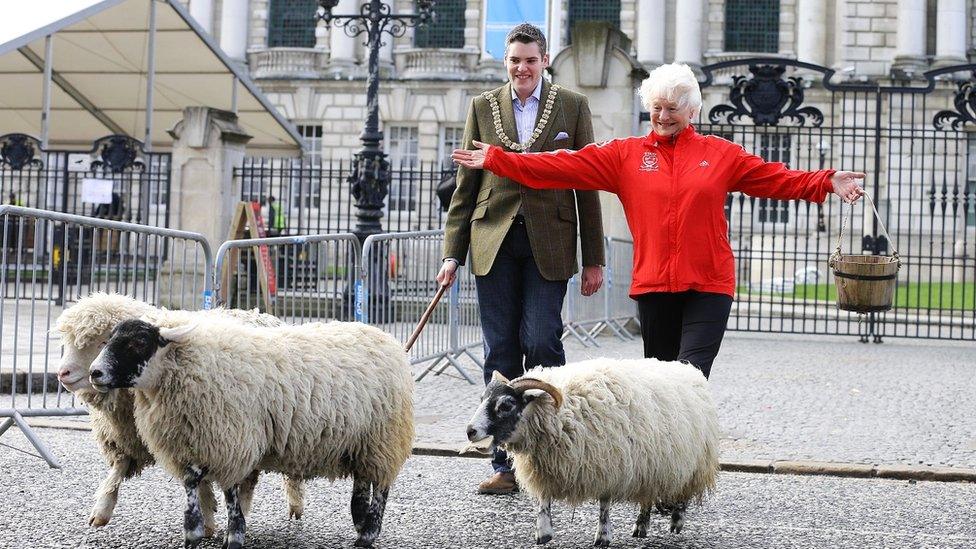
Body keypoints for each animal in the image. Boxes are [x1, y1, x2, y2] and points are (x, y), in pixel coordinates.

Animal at [86, 312, 416, 548]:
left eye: (139, 342)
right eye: (110, 339)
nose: (94, 373)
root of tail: (387, 339)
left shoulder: (232, 442)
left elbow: (231, 494)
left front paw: (234, 537)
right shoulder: (190, 444)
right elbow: (193, 487)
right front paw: (193, 534)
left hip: (384, 436)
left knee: (382, 486)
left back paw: (367, 535)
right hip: (359, 442)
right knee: (362, 481)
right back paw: (360, 523)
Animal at [462, 360, 720, 544]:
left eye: (505, 405)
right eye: (483, 399)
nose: (470, 430)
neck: (562, 413)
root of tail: (687, 368)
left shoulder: (608, 463)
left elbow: (604, 504)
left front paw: (603, 536)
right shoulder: (545, 466)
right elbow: (543, 500)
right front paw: (543, 533)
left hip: (692, 461)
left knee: (683, 494)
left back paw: (676, 521)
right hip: (651, 466)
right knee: (647, 497)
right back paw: (641, 526)